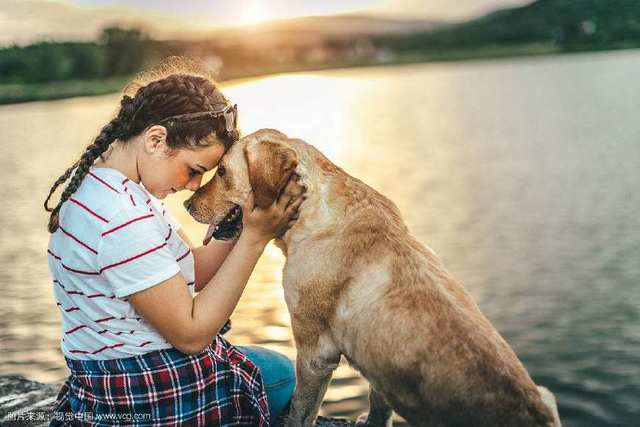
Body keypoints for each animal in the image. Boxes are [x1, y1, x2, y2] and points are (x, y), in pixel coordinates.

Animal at [184, 130, 560, 427]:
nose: (186, 204)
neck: (313, 210)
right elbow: (379, 404)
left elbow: (301, 413)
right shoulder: (379, 371)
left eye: (221, 170)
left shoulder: (315, 353)